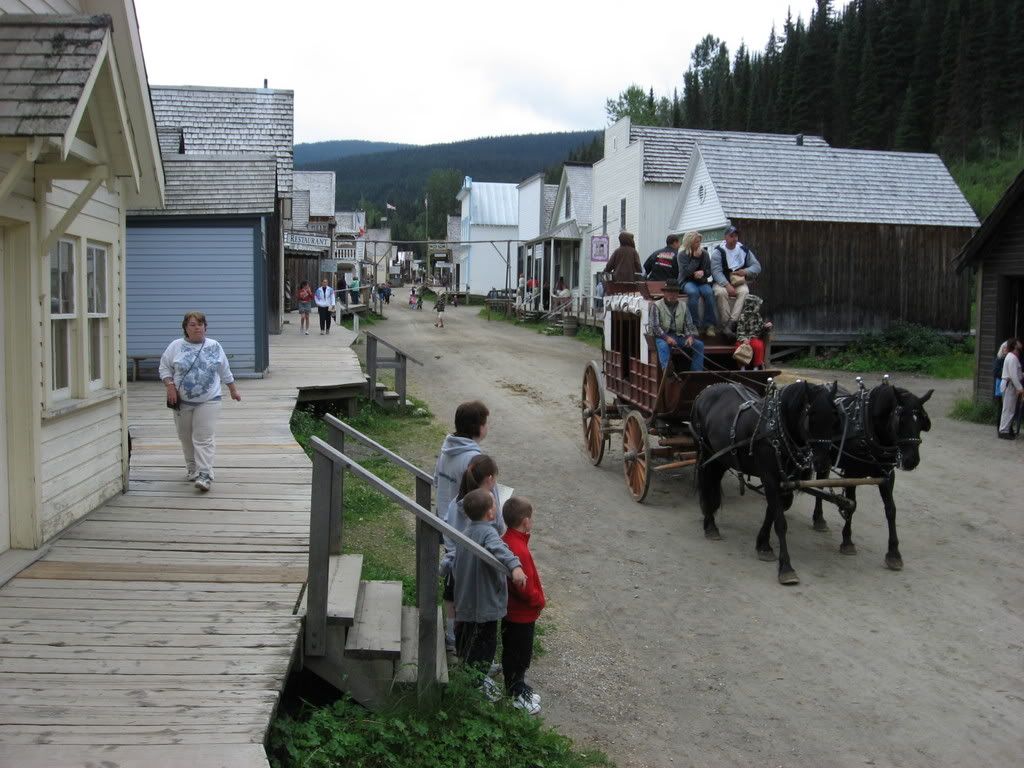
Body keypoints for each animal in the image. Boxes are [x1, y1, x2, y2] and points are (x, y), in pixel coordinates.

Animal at [692, 382, 843, 585]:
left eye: (835, 419)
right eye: (810, 418)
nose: (823, 464)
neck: (777, 430)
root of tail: (705, 391)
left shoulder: (785, 481)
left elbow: (773, 511)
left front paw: (763, 545)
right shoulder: (769, 477)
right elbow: (780, 522)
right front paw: (786, 567)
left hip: (721, 457)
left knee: (712, 483)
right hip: (706, 451)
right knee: (707, 484)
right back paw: (710, 524)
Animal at [806, 382, 937, 573]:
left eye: (922, 421)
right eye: (901, 420)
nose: (911, 460)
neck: (867, 427)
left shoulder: (887, 476)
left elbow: (891, 510)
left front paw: (894, 553)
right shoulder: (851, 473)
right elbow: (852, 506)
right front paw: (847, 541)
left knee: (821, 483)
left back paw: (819, 519)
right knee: (820, 484)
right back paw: (819, 518)